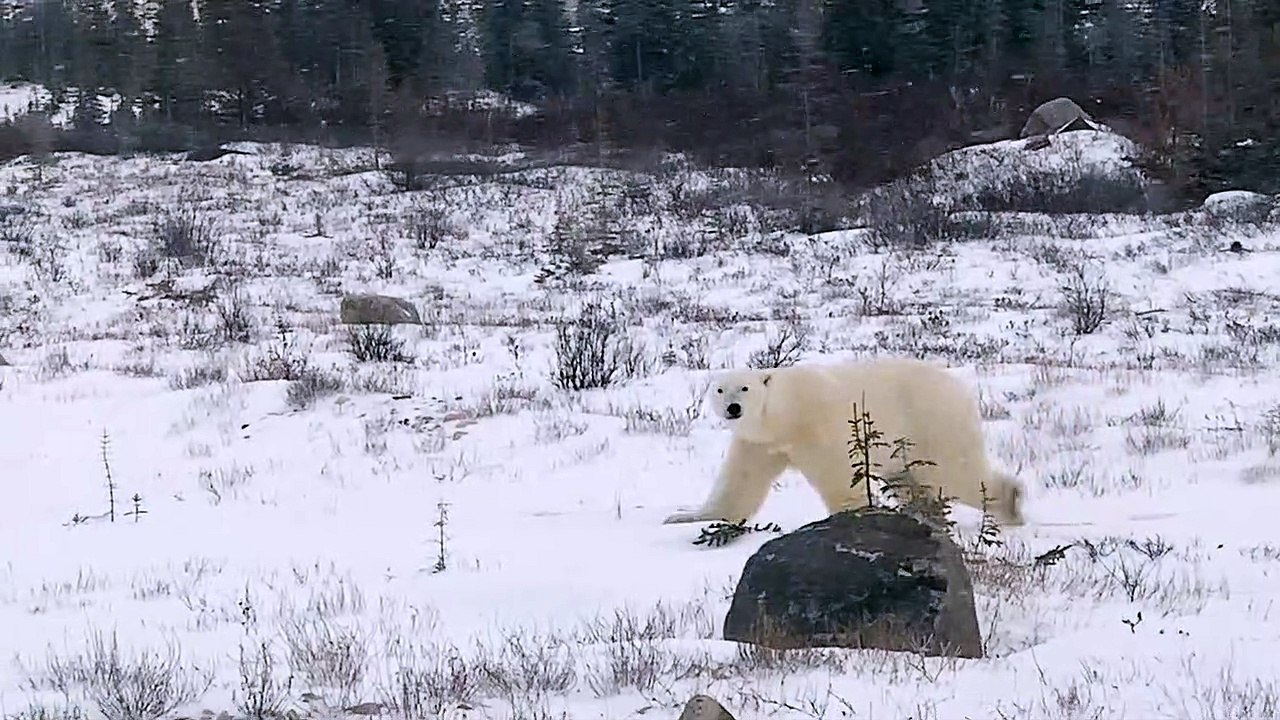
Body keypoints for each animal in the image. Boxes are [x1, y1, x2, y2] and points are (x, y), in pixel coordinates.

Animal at [663, 357, 1025, 527]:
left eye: (745, 388)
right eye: (720, 389)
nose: (733, 408)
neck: (784, 414)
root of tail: (960, 388)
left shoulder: (817, 424)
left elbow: (839, 474)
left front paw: (854, 515)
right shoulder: (759, 443)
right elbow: (740, 483)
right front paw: (682, 516)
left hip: (931, 420)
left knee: (955, 470)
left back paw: (1010, 503)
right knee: (910, 478)